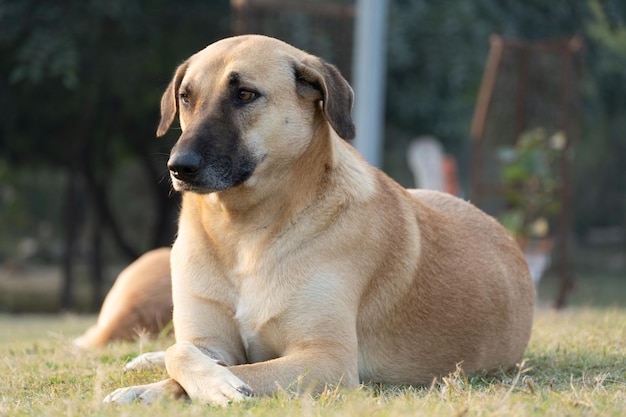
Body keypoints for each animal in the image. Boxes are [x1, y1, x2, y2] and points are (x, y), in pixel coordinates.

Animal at [103, 34, 532, 404]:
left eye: (245, 94)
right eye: (186, 97)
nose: (180, 167)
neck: (243, 234)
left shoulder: (326, 361)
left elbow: (239, 369)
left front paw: (219, 385)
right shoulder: (210, 343)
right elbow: (181, 352)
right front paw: (147, 389)